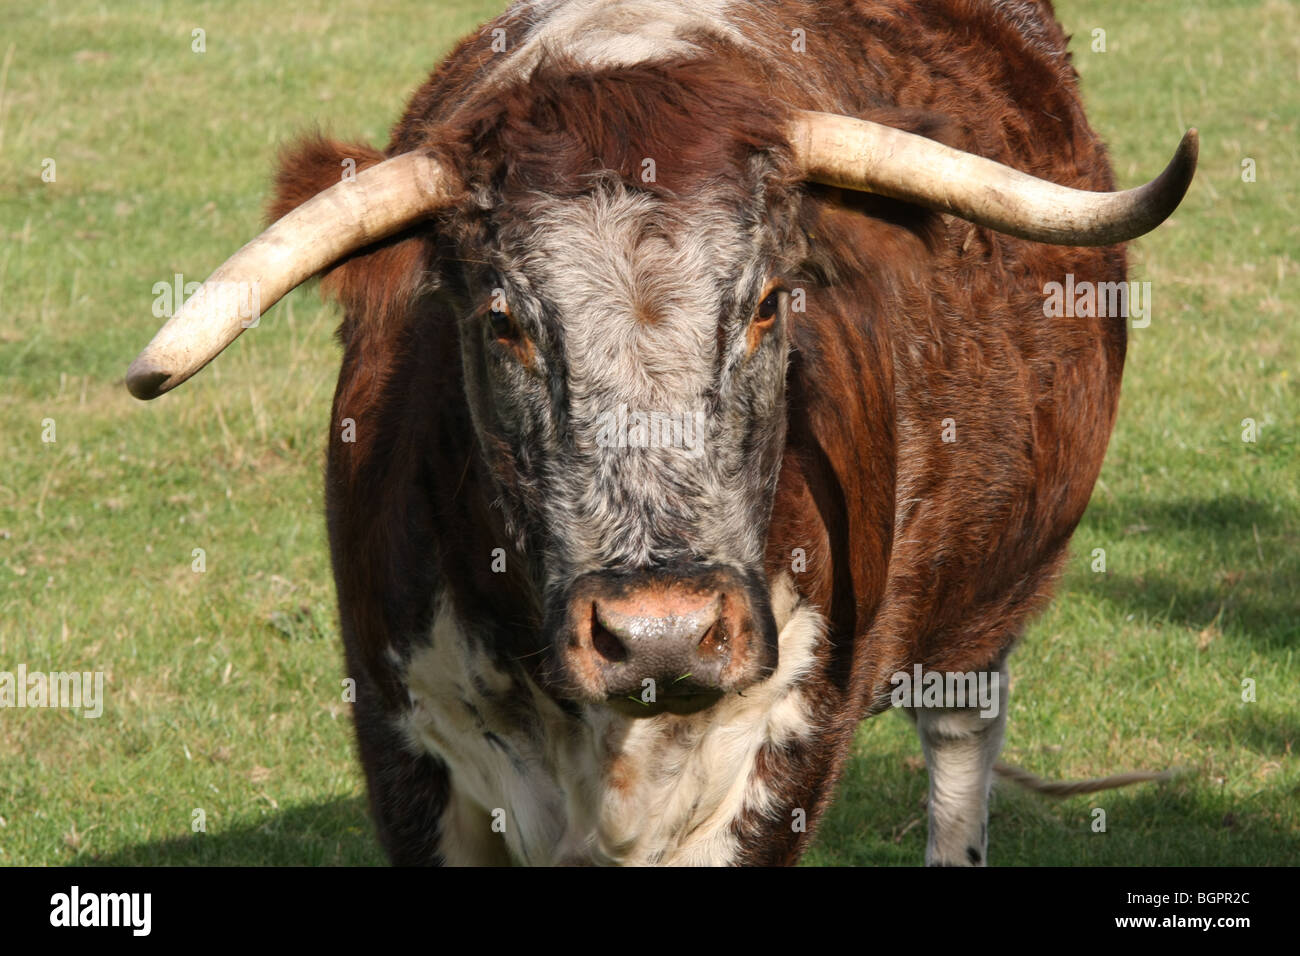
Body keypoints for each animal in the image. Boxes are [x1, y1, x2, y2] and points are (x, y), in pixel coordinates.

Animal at [129, 0, 1196, 868]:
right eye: (502, 320)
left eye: (770, 303)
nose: (660, 637)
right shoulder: (404, 744)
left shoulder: (786, 752)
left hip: (989, 607)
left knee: (963, 752)